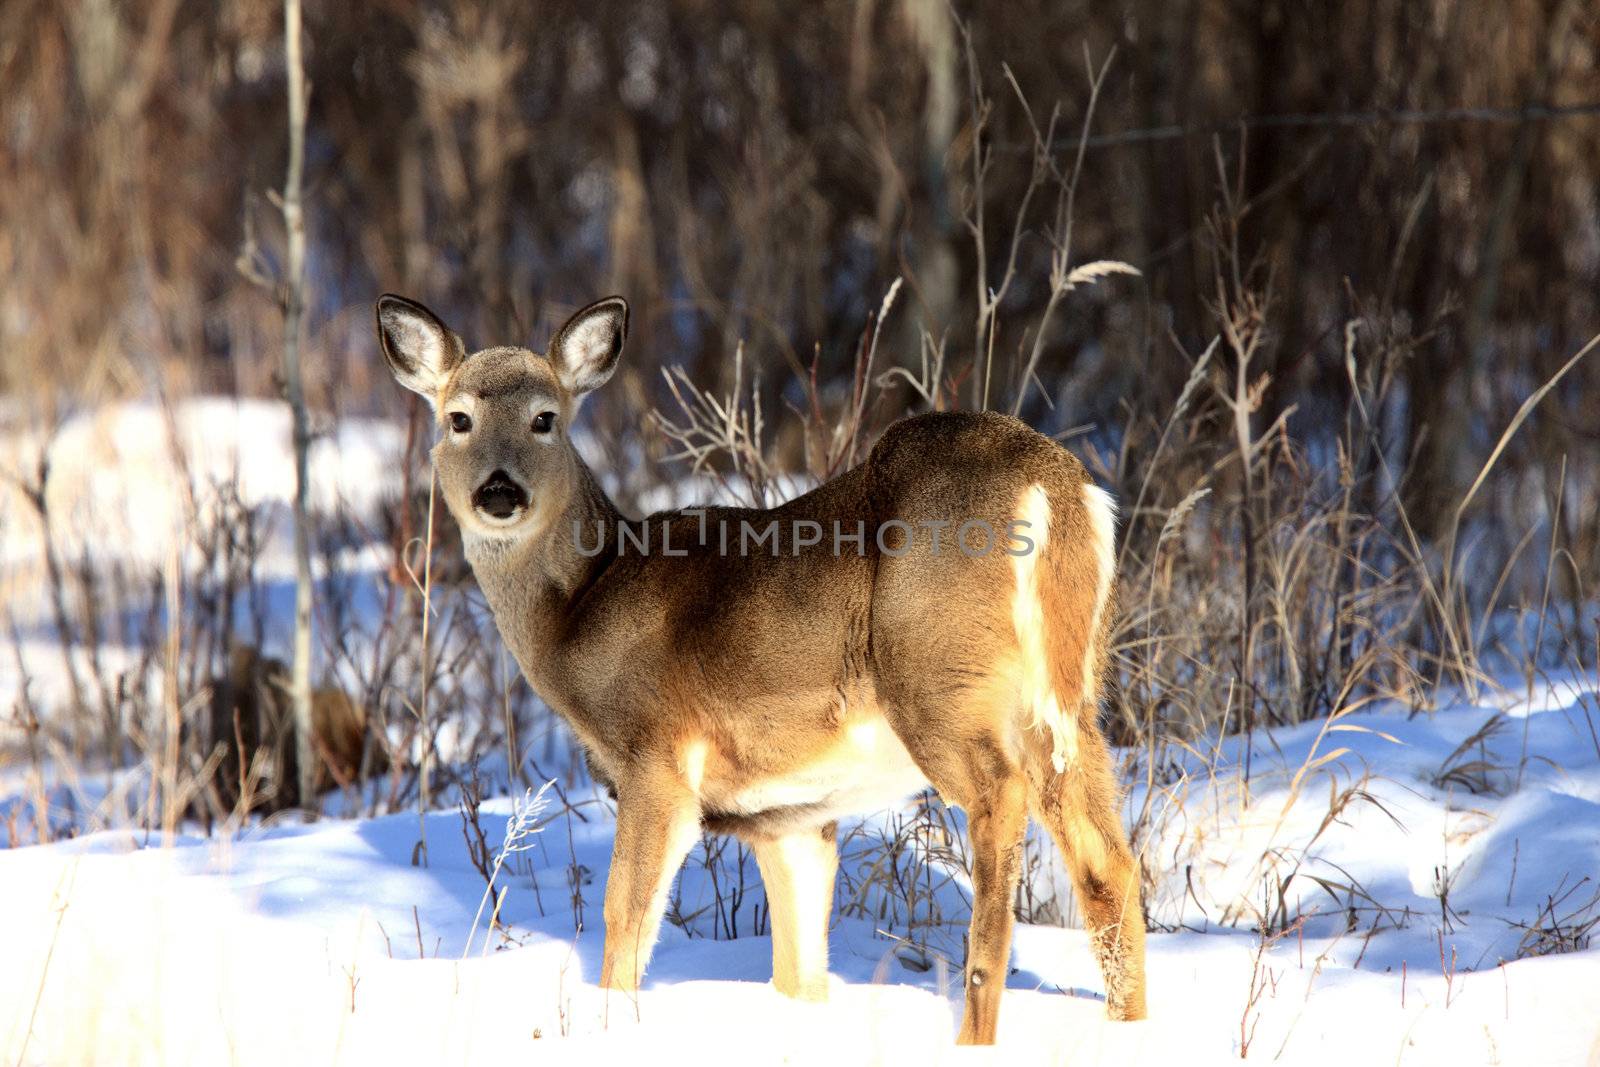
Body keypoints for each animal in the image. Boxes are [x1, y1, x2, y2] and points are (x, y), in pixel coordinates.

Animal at [377, 292, 1152, 1043]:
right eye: (458, 418)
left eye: (545, 419)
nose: (498, 491)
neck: (583, 604)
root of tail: (1056, 490)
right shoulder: (789, 817)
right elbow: (798, 971)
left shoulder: (655, 754)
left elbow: (624, 919)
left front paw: (609, 1021)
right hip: (1073, 697)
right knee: (1110, 865)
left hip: (940, 677)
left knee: (1001, 799)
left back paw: (974, 1030)